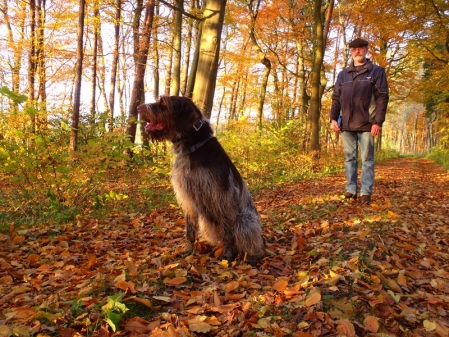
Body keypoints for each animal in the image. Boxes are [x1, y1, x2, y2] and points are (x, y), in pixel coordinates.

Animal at [135, 96, 264, 264]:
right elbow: (189, 230)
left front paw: (228, 255)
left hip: (244, 220)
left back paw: (252, 256)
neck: (193, 147)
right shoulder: (187, 198)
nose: (138, 107)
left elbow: (228, 231)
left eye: (163, 102)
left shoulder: (222, 198)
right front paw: (189, 250)